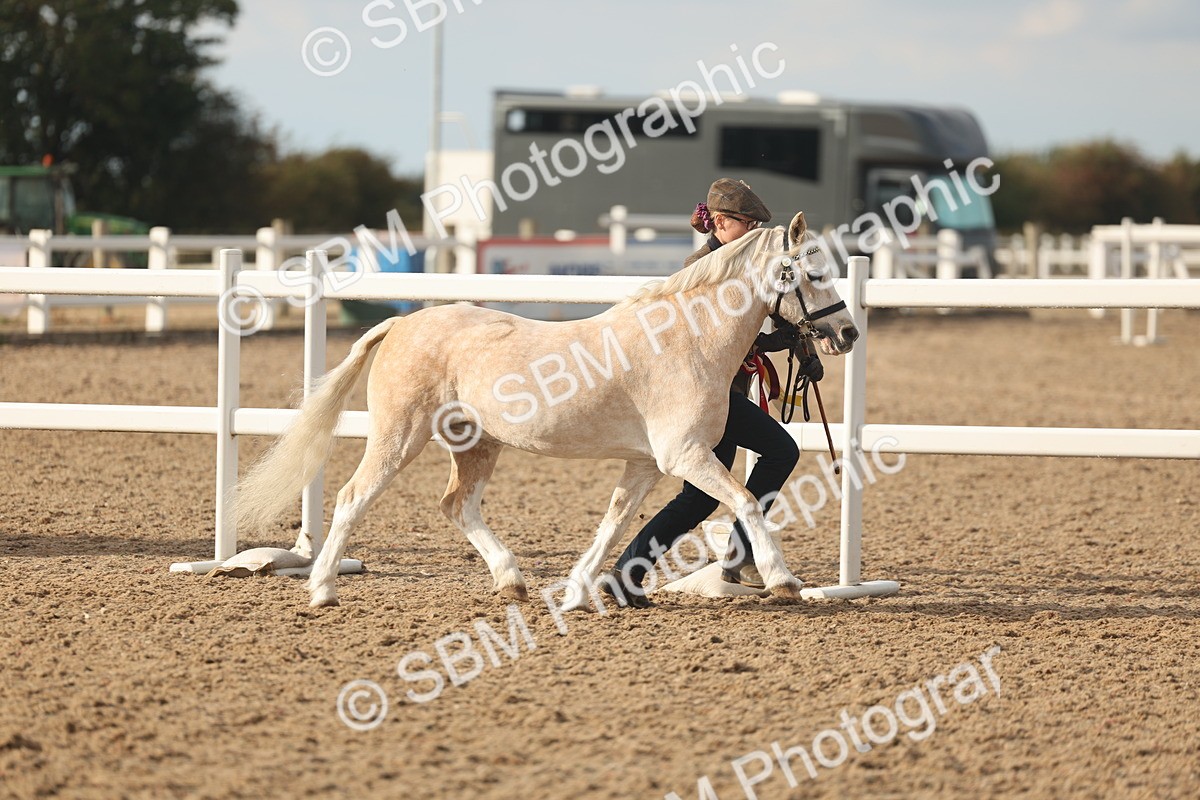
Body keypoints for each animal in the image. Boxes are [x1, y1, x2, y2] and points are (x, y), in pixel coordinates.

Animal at [235, 211, 858, 609]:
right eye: (815, 272)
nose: (847, 333)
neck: (685, 339)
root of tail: (400, 323)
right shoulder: (685, 455)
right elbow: (746, 501)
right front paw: (783, 581)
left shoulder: (647, 463)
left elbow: (614, 524)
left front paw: (581, 592)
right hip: (399, 436)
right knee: (352, 498)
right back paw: (322, 590)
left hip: (475, 443)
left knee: (457, 505)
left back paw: (511, 581)